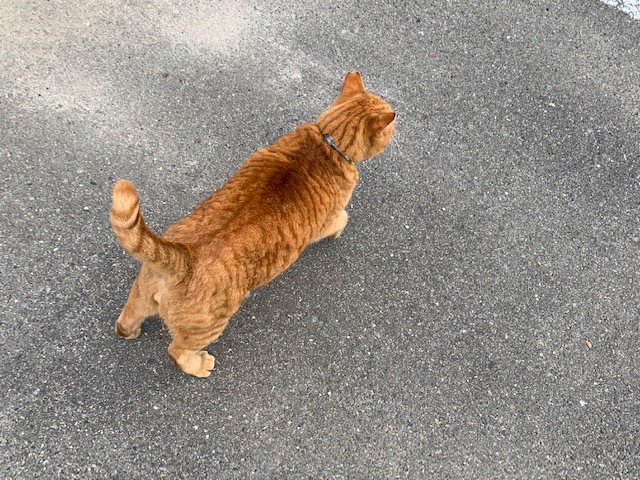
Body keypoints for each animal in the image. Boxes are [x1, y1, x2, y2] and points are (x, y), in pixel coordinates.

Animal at [110, 71, 396, 377]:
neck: (330, 142)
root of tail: (183, 256)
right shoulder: (328, 219)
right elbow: (343, 217)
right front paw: (342, 228)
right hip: (210, 325)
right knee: (178, 352)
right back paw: (198, 365)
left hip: (141, 292)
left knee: (127, 318)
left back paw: (129, 330)